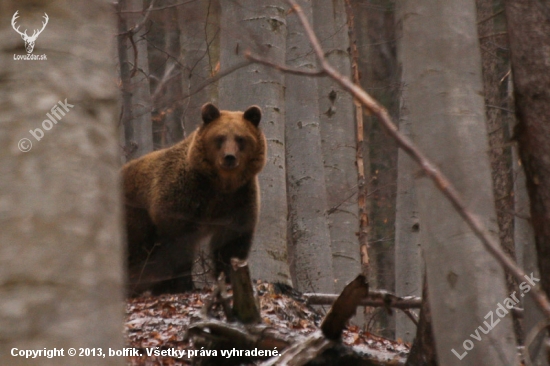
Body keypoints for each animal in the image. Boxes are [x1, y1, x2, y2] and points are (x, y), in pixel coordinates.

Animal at [121, 102, 268, 294]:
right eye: (220, 137)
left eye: (240, 138)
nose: (229, 157)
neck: (220, 184)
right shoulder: (183, 199)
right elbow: (178, 245)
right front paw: (180, 284)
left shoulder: (238, 198)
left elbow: (232, 241)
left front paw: (229, 276)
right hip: (135, 211)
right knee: (136, 248)